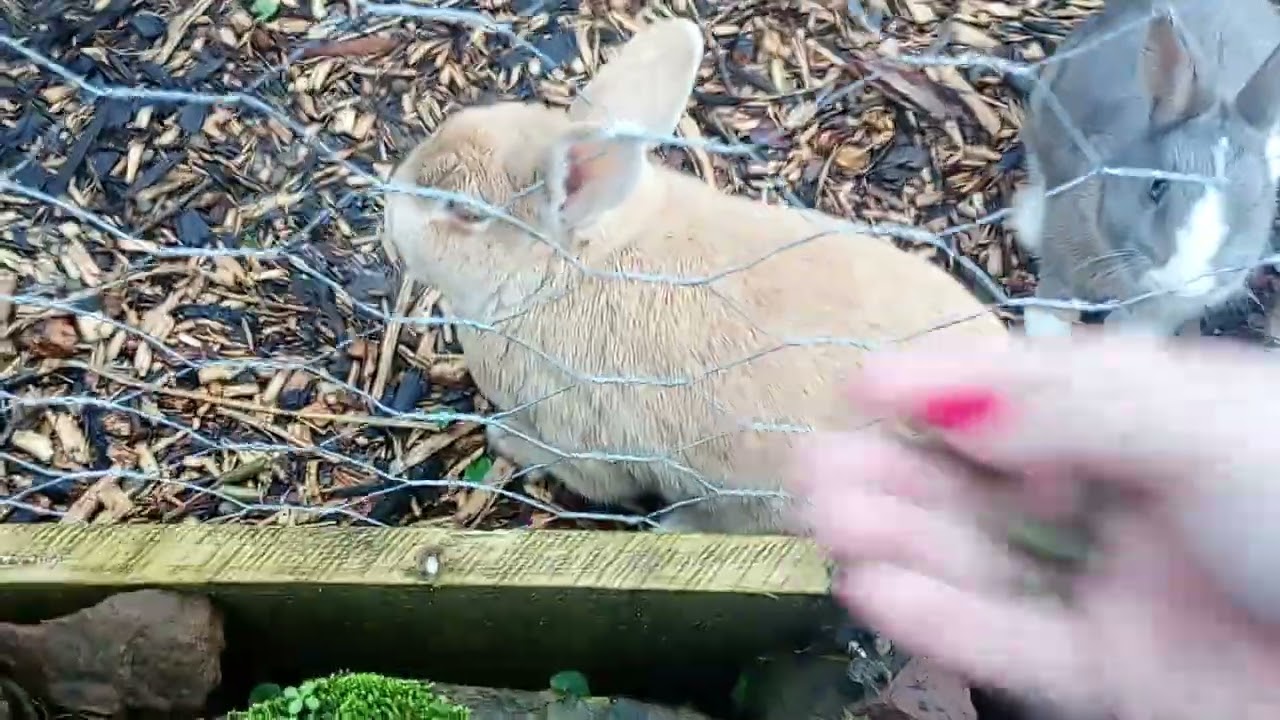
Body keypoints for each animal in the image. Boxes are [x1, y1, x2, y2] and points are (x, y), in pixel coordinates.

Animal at [1008, 0, 1280, 338]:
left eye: (1249, 210)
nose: (1177, 278)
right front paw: (1047, 332)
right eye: (1156, 187)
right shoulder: (1066, 231)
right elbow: (1057, 285)